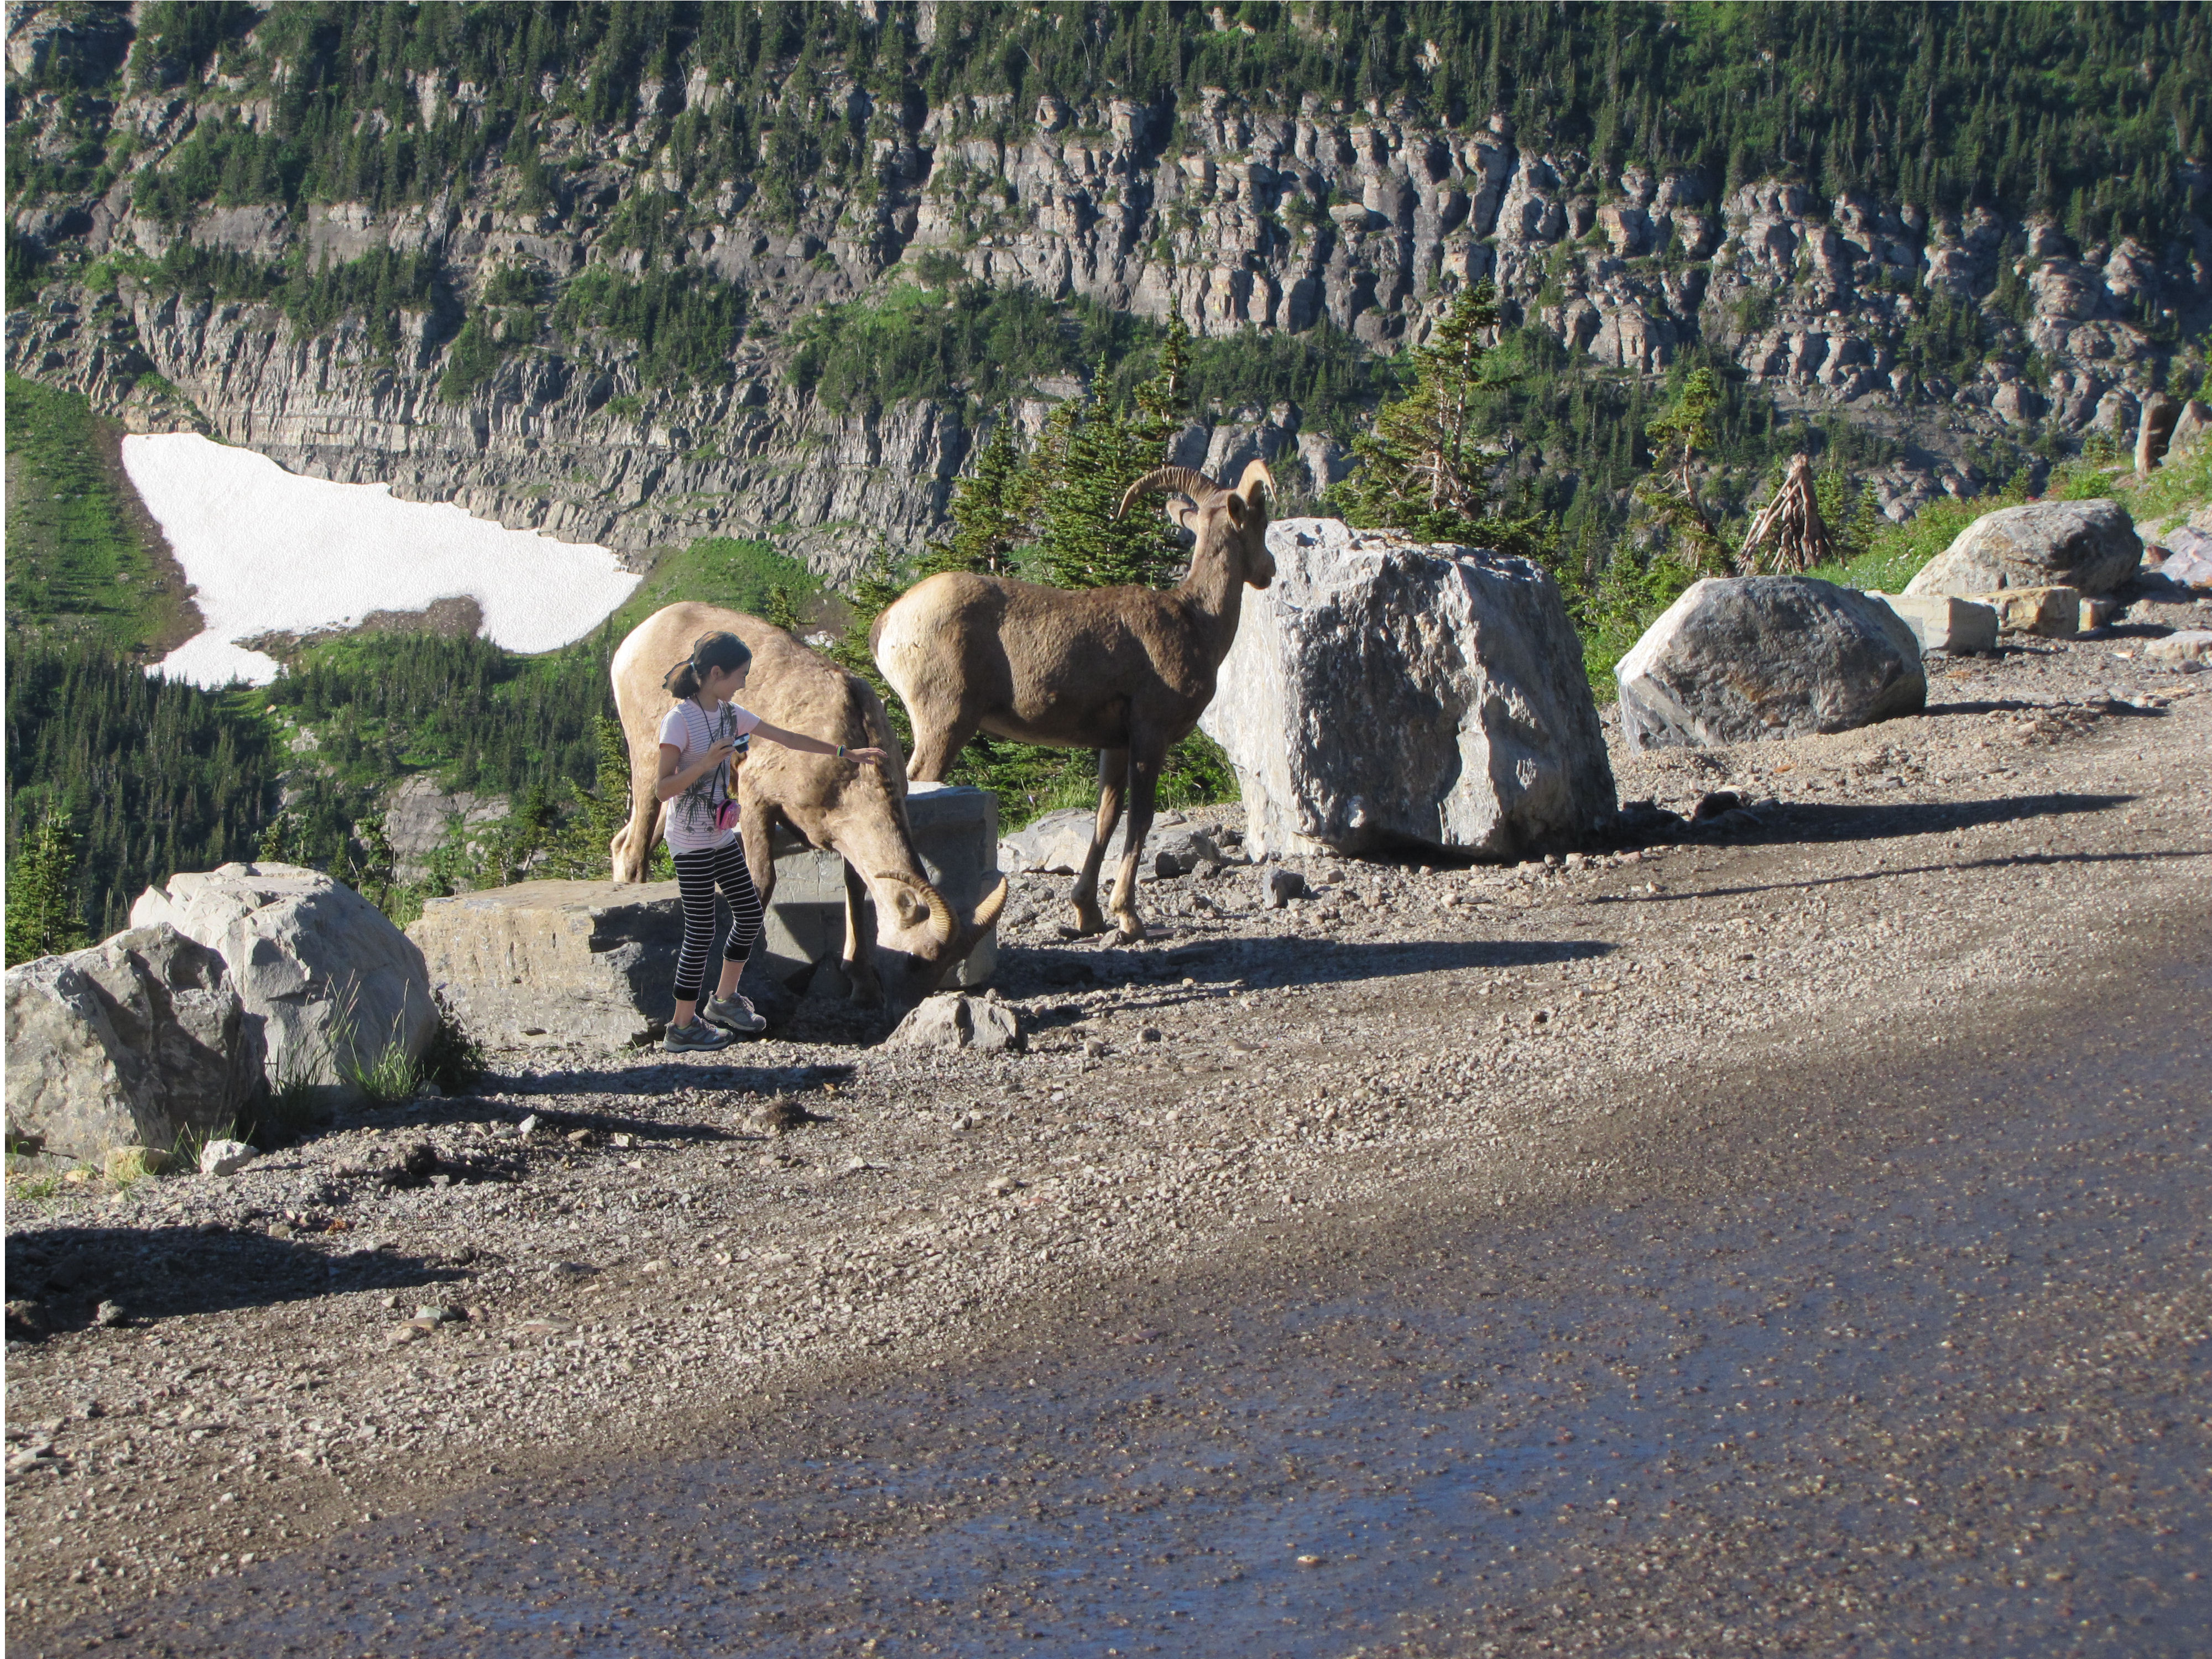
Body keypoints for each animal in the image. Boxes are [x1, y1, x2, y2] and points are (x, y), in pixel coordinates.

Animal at [867, 462, 1283, 942]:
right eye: (1260, 520)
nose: (1269, 571)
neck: (1197, 622)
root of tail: (889, 623)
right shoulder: (1151, 733)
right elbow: (1140, 819)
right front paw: (1129, 918)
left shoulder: (1115, 744)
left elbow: (1107, 819)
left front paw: (1089, 915)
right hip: (945, 722)